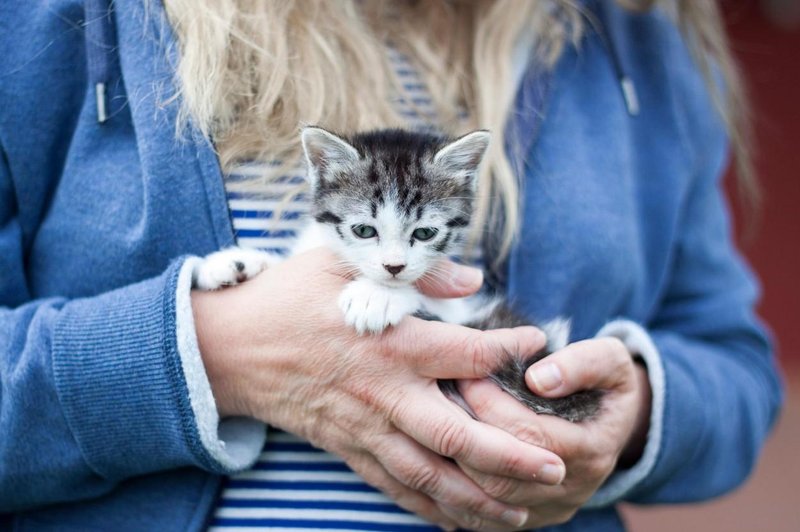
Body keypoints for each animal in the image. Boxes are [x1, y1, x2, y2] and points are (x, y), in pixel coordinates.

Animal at [194, 127, 600, 422]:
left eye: (425, 233)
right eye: (363, 230)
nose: (393, 267)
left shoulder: (461, 310)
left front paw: (378, 295)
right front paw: (234, 263)